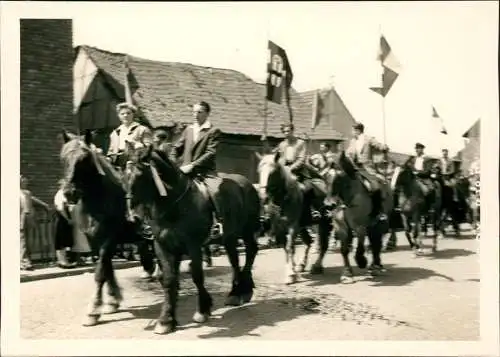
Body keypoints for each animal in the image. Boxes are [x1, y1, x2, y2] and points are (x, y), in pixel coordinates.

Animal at [59, 130, 146, 326]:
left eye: (84, 159)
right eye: (63, 157)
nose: (69, 193)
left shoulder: (109, 240)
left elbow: (100, 273)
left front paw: (93, 310)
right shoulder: (96, 242)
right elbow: (106, 269)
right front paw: (112, 300)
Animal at [124, 143, 262, 332]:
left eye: (141, 175)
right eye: (124, 174)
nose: (132, 218)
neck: (174, 205)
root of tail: (247, 183)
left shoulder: (193, 245)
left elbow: (197, 276)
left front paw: (202, 310)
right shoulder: (163, 246)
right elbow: (169, 279)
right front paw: (166, 320)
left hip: (246, 231)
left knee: (250, 252)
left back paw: (243, 291)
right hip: (229, 237)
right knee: (234, 260)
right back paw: (237, 292)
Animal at [256, 150, 334, 284]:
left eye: (272, 172)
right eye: (259, 171)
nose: (263, 197)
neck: (283, 200)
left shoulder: (293, 226)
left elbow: (290, 247)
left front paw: (290, 274)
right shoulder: (279, 227)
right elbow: (286, 247)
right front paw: (292, 269)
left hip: (323, 223)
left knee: (323, 245)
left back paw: (317, 266)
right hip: (303, 227)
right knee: (308, 241)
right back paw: (301, 265)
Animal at [318, 152, 392, 282]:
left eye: (339, 178)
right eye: (325, 177)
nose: (329, 205)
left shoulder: (360, 227)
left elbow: (360, 248)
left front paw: (361, 261)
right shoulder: (340, 227)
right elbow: (344, 250)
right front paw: (347, 273)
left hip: (379, 225)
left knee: (376, 244)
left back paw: (375, 267)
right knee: (374, 243)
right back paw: (375, 266)